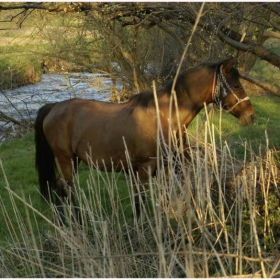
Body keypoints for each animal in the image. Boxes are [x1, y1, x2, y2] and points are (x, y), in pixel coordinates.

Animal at [35, 58, 256, 222]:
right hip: (66, 160)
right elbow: (139, 201)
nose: (251, 116)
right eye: (236, 85)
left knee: (58, 187)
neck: (164, 114)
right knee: (67, 189)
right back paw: (77, 221)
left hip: (72, 161)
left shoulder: (166, 167)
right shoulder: (144, 169)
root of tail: (54, 107)